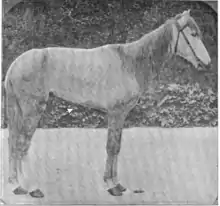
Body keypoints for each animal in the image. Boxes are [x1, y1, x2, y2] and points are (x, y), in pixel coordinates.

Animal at [4, 10, 211, 198]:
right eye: (193, 34)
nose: (208, 64)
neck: (130, 62)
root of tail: (15, 64)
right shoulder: (116, 113)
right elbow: (111, 147)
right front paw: (112, 186)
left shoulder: (120, 115)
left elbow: (116, 146)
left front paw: (115, 183)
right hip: (32, 110)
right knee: (22, 143)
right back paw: (31, 188)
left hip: (19, 110)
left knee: (13, 141)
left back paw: (16, 184)